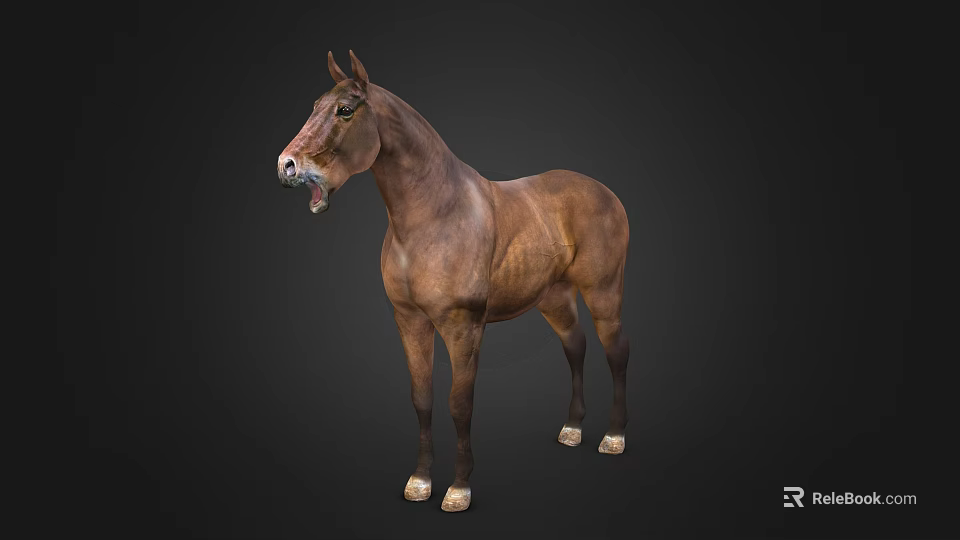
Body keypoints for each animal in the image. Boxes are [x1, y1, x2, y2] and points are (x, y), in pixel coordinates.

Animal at [277, 51, 630, 512]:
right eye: (315, 105)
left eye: (345, 110)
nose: (286, 166)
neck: (435, 215)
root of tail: (607, 193)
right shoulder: (410, 321)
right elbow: (422, 398)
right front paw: (420, 481)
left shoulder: (463, 327)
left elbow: (459, 404)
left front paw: (459, 490)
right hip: (554, 298)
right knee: (576, 347)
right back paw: (571, 431)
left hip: (603, 292)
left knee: (616, 352)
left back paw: (614, 437)